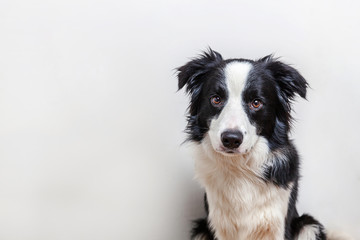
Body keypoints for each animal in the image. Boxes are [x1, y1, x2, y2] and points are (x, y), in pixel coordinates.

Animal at [177, 49, 334, 240]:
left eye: (256, 102)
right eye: (216, 99)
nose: (231, 139)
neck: (240, 168)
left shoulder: (276, 223)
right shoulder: (220, 225)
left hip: (309, 225)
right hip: (201, 230)